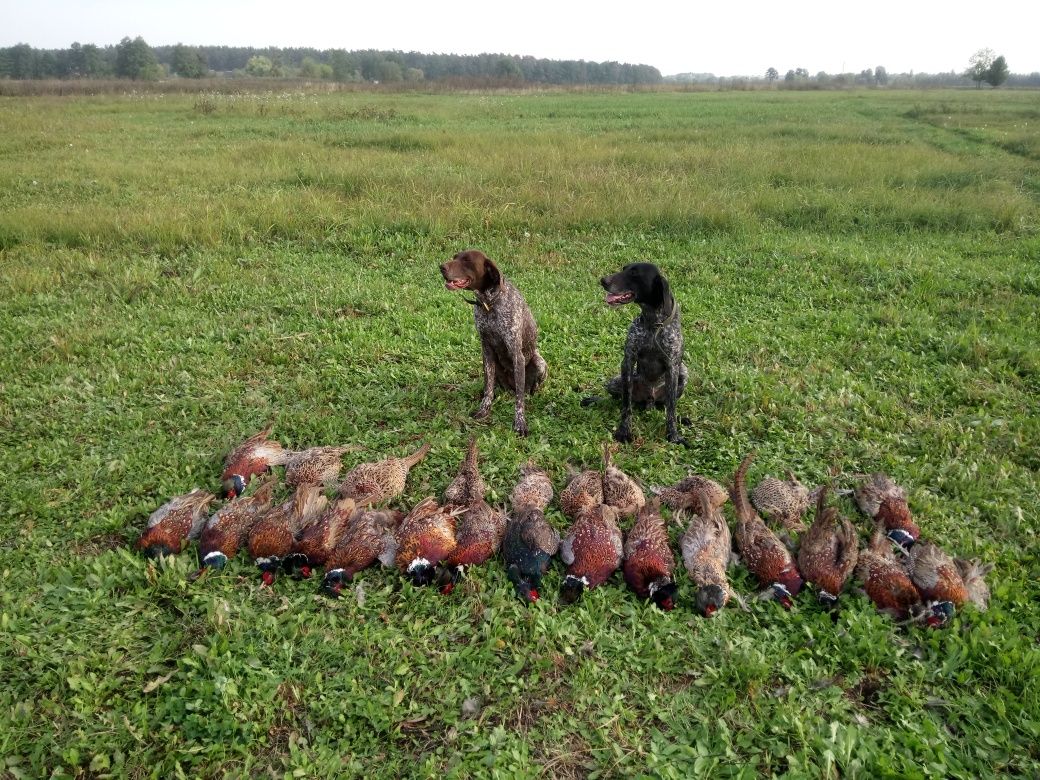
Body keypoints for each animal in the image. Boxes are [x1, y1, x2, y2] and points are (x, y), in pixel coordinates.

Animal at [438, 250, 549, 436]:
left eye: (466, 260)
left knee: (525, 389)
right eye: (455, 257)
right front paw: (484, 409)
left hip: (539, 362)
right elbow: (488, 387)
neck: (489, 303)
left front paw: (520, 422)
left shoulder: (516, 353)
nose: (441, 267)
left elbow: (519, 400)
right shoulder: (486, 351)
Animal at [594, 263, 690, 445]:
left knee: (665, 405)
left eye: (634, 273)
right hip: (615, 380)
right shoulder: (628, 361)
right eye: (624, 268)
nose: (603, 280)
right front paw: (624, 431)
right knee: (619, 400)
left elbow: (671, 409)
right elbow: (626, 405)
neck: (653, 323)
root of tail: (650, 400)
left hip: (683, 372)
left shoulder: (673, 367)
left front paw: (673, 435)